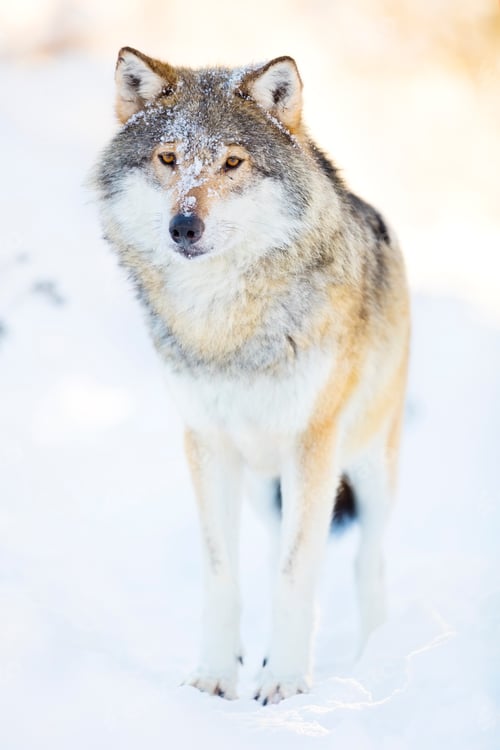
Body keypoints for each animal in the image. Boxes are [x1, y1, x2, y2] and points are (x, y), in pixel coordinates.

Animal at [93, 47, 410, 704]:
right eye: (168, 159)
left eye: (232, 162)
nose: (183, 226)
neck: (227, 328)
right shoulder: (208, 444)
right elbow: (224, 575)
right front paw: (215, 675)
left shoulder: (314, 443)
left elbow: (297, 574)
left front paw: (285, 682)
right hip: (268, 486)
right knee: (273, 553)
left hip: (370, 466)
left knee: (367, 562)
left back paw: (370, 659)